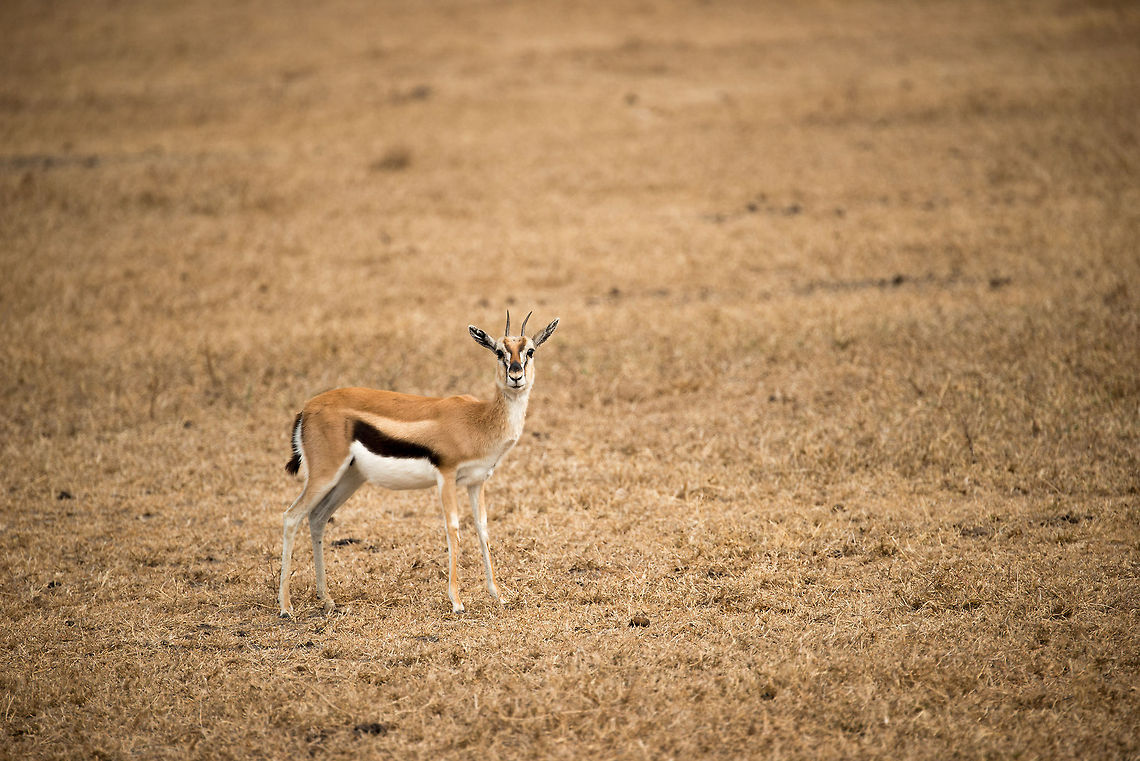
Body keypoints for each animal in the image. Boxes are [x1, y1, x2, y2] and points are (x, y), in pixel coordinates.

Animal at [278, 311, 559, 617]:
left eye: (530, 351)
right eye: (499, 351)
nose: (516, 375)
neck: (479, 420)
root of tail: (306, 408)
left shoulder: (476, 481)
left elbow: (483, 528)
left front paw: (499, 595)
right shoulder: (446, 476)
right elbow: (453, 528)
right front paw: (457, 602)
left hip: (349, 479)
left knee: (317, 517)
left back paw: (326, 598)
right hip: (325, 474)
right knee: (292, 516)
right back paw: (286, 607)